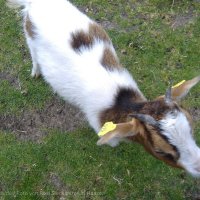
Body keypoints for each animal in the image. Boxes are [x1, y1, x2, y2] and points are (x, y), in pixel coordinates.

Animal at [7, 0, 200, 177]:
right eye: (161, 151)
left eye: (191, 128)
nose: (198, 167)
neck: (120, 101)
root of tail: (36, 3)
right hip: (29, 37)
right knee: (33, 55)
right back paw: (35, 72)